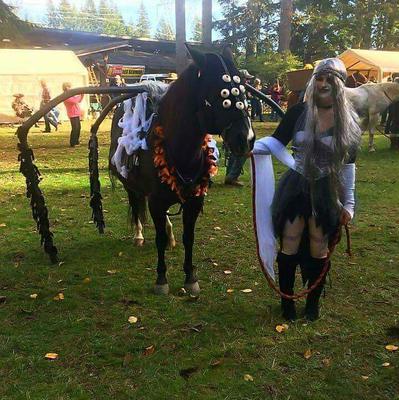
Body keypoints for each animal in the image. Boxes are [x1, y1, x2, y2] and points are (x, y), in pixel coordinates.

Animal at [108, 45, 255, 296]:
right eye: (223, 97)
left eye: (244, 92)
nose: (246, 139)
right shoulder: (155, 202)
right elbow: (157, 236)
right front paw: (161, 279)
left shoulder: (194, 202)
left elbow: (189, 237)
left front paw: (190, 277)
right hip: (131, 186)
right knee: (136, 205)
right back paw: (139, 235)